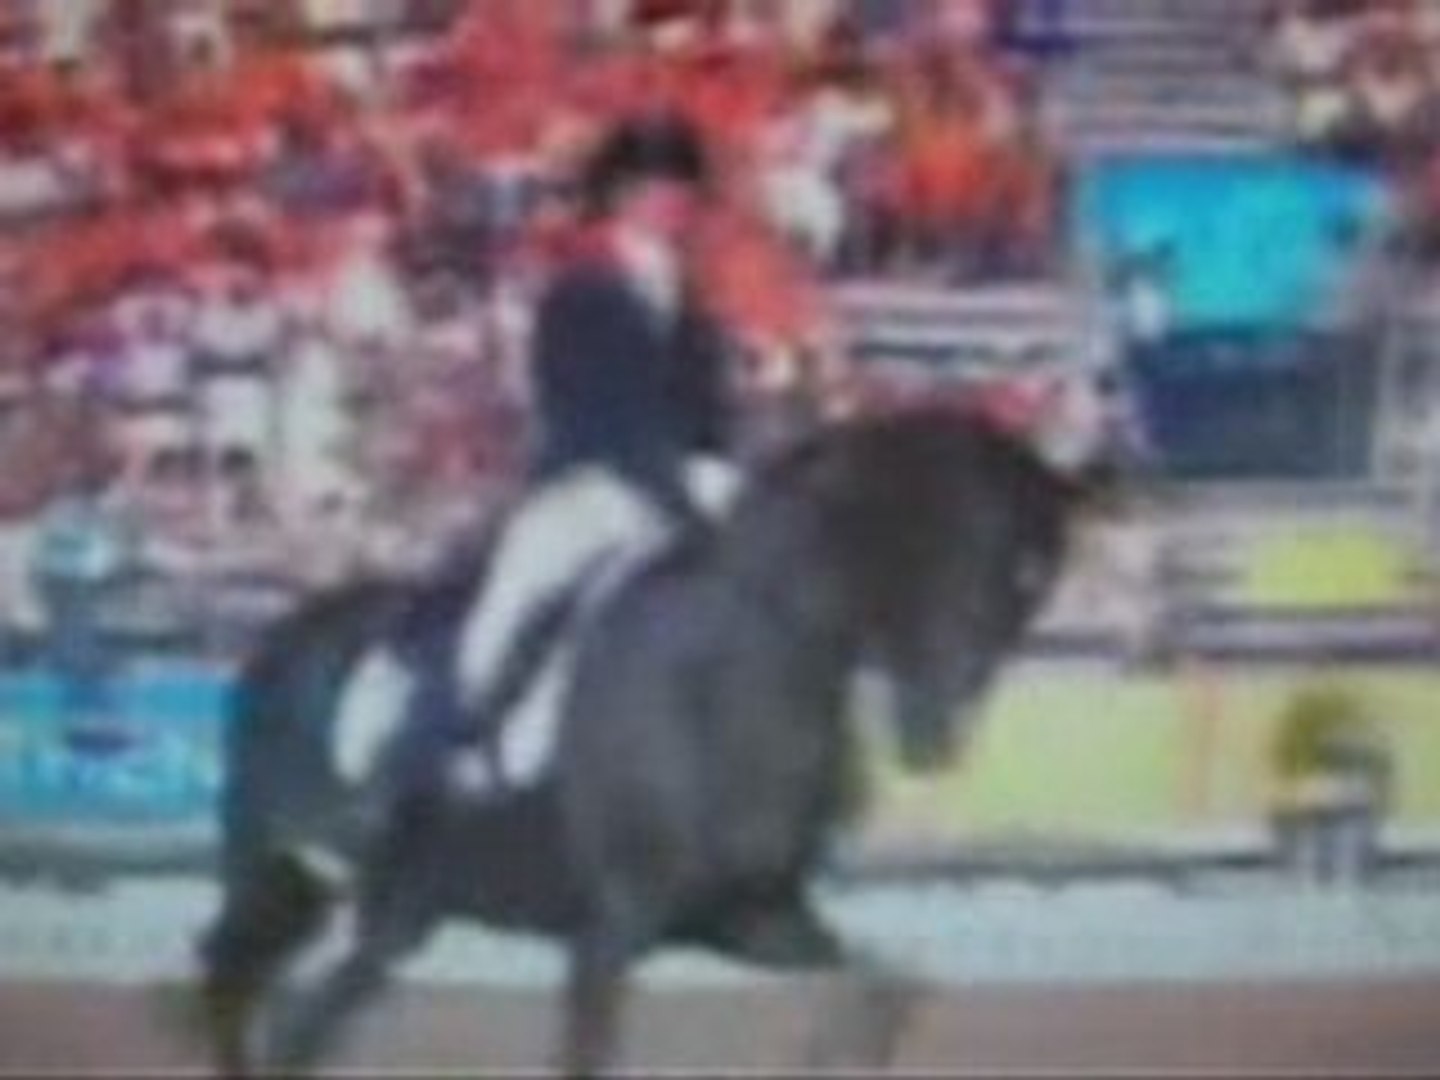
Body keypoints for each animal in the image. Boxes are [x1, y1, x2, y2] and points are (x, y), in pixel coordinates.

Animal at [196, 406, 1106, 1077]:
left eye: (1032, 577)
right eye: (927, 544)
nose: (936, 736)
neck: (732, 686)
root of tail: (284, 637)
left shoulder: (754, 917)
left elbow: (880, 983)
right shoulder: (610, 932)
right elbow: (589, 1053)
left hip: (391, 911)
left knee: (300, 1012)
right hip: (296, 873)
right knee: (242, 986)